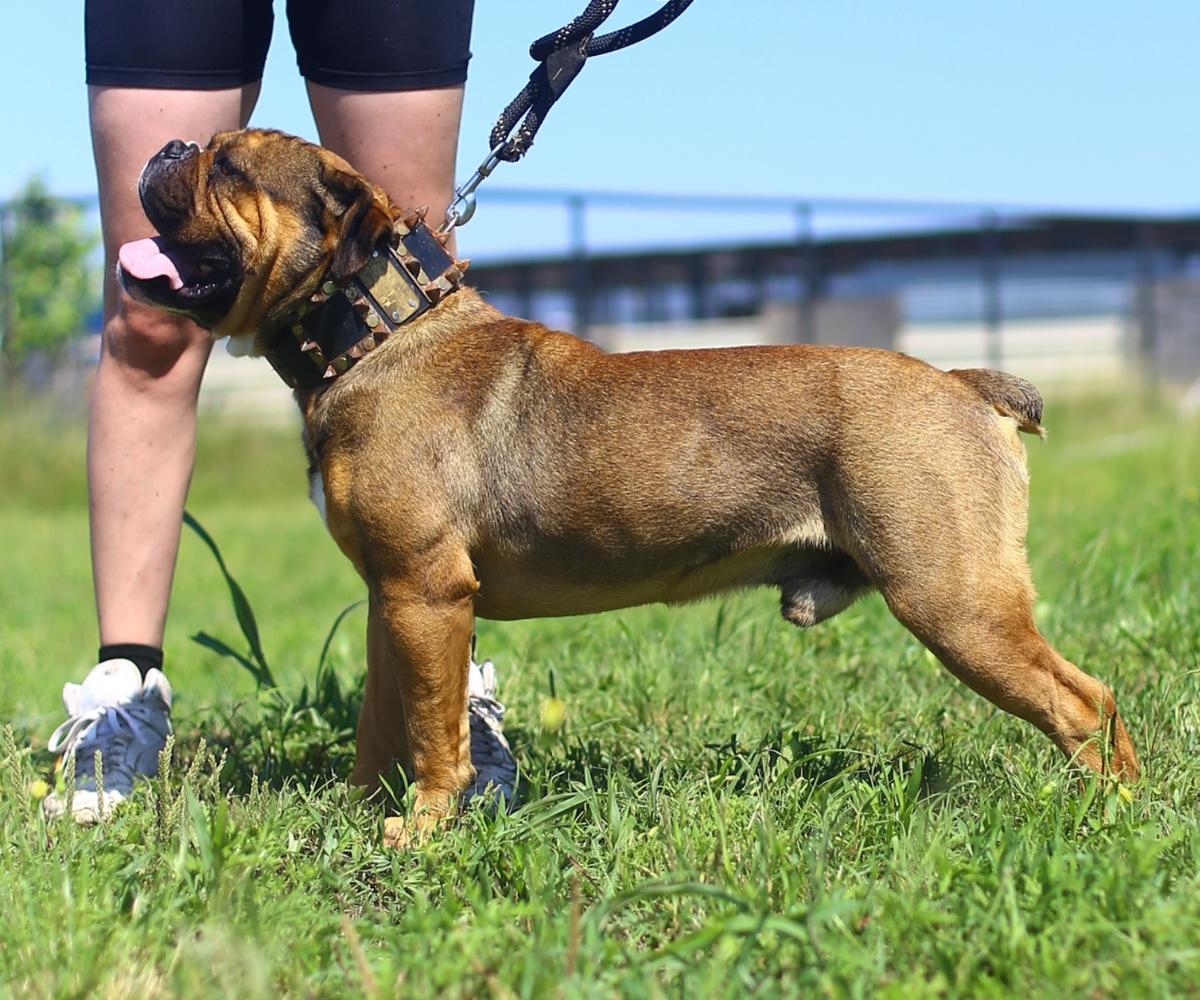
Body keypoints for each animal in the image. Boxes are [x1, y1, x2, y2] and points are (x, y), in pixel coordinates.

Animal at [117, 128, 1137, 840]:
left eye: (227, 164)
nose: (165, 146)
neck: (377, 332)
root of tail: (962, 383)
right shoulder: (393, 597)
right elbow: (386, 719)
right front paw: (366, 813)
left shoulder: (428, 591)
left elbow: (434, 729)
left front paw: (426, 830)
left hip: (952, 600)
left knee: (1080, 701)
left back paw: (1109, 820)